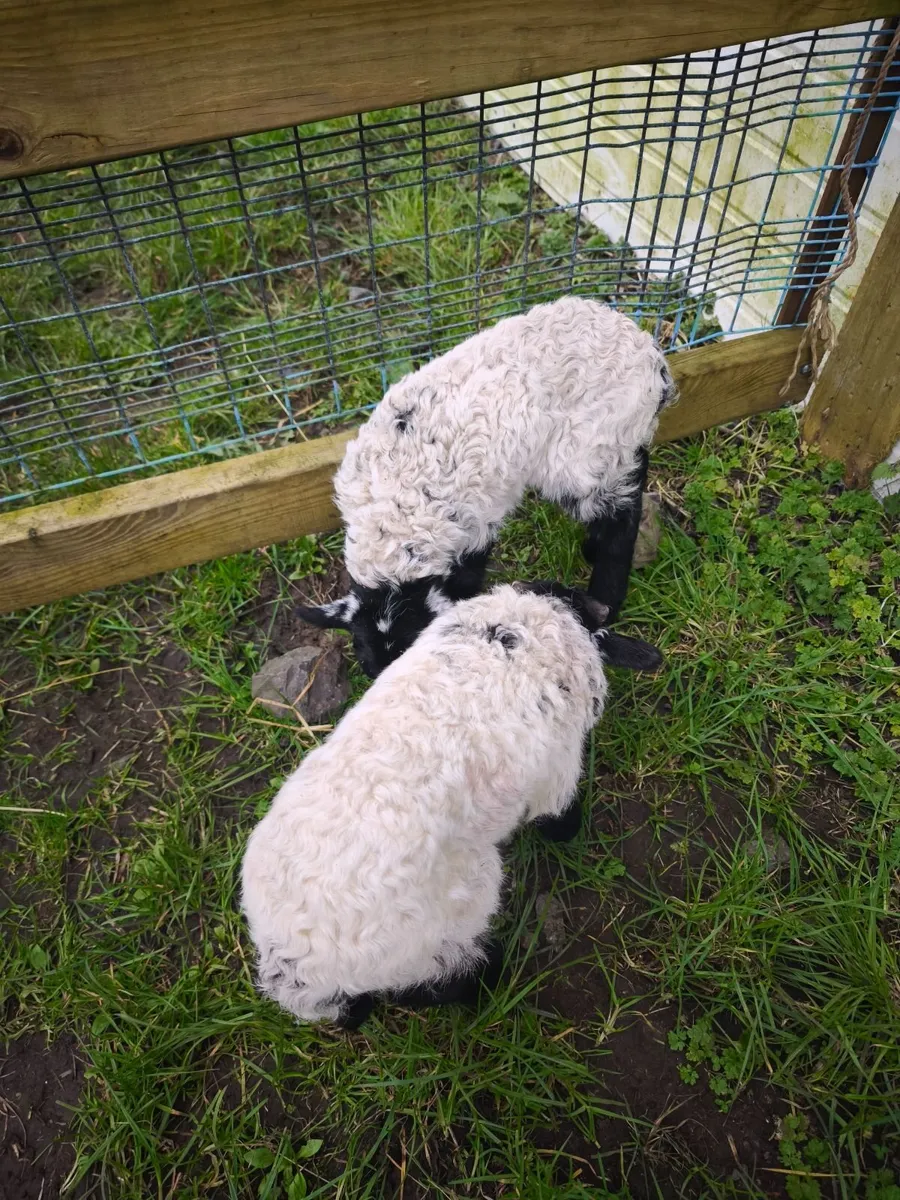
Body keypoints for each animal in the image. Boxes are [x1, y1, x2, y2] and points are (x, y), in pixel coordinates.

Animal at [241, 581, 663, 1028]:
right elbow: (559, 819)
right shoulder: (557, 772)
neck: (513, 632)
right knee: (442, 980)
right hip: (444, 926)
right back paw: (493, 975)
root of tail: (296, 968)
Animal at [297, 296, 676, 677]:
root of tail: (648, 351)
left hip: (592, 446)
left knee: (620, 511)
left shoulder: (473, 527)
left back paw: (607, 594)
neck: (392, 517)